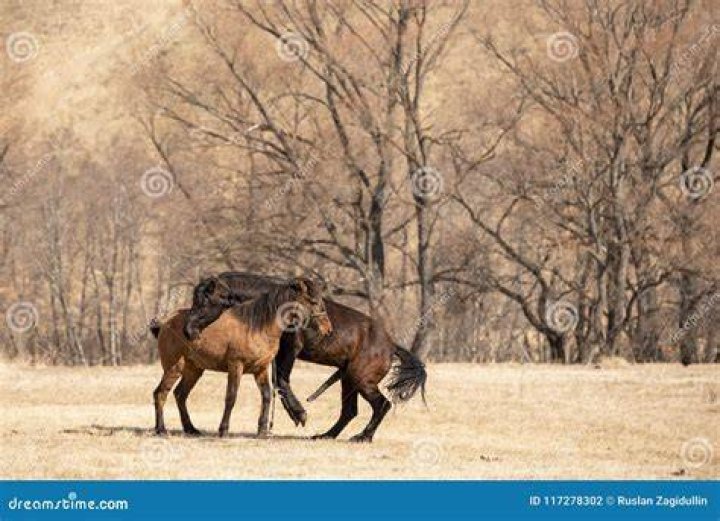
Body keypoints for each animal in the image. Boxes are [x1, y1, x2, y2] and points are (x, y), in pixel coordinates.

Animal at [150, 278, 332, 438]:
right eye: (313, 301)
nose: (328, 329)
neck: (257, 326)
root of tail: (165, 322)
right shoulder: (236, 366)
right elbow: (231, 397)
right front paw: (223, 430)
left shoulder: (261, 369)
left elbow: (266, 396)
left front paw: (262, 430)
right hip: (174, 368)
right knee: (160, 394)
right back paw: (161, 429)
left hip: (194, 370)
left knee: (180, 395)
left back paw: (191, 429)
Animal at [185, 272, 427, 442]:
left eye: (206, 300)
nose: (187, 331)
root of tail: (391, 345)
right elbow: (277, 383)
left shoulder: (289, 350)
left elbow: (281, 380)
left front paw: (298, 413)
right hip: (349, 380)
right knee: (350, 411)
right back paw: (326, 435)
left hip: (361, 380)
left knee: (382, 405)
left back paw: (363, 437)